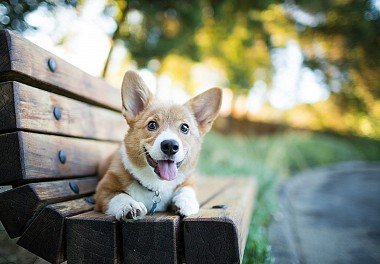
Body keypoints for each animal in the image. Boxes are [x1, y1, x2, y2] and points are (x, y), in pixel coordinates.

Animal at [94, 70, 223, 221]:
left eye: (185, 128)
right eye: (152, 124)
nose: (170, 146)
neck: (157, 186)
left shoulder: (189, 180)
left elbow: (187, 189)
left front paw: (186, 202)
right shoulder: (103, 190)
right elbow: (119, 196)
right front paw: (129, 206)